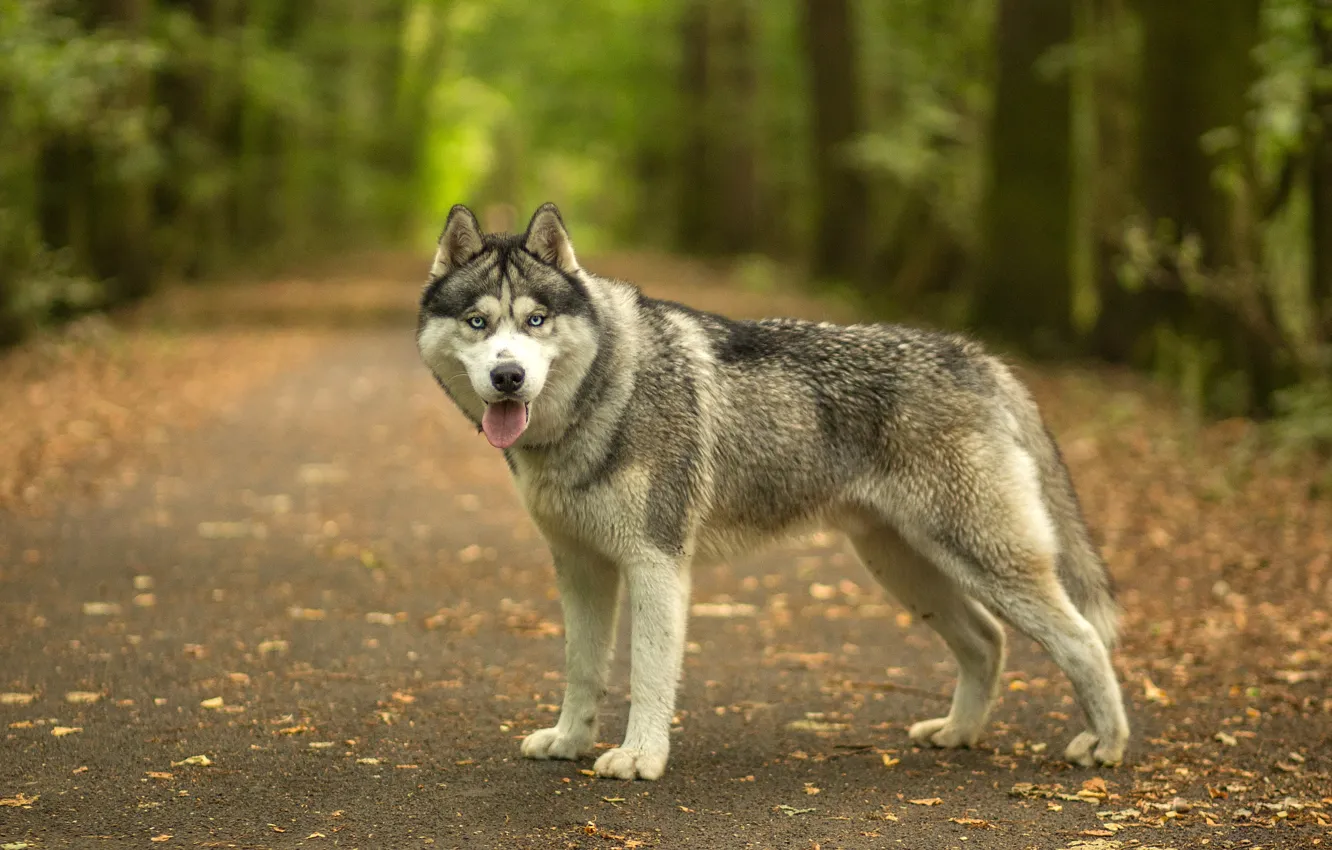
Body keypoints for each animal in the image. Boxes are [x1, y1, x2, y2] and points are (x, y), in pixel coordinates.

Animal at [415, 202, 1124, 783]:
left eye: (535, 320)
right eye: (479, 323)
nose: (509, 377)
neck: (604, 393)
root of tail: (978, 357)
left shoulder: (656, 565)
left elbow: (647, 676)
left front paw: (640, 758)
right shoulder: (581, 568)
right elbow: (583, 669)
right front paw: (568, 743)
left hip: (983, 562)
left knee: (1084, 641)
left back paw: (1106, 746)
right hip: (908, 570)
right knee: (987, 642)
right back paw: (957, 733)